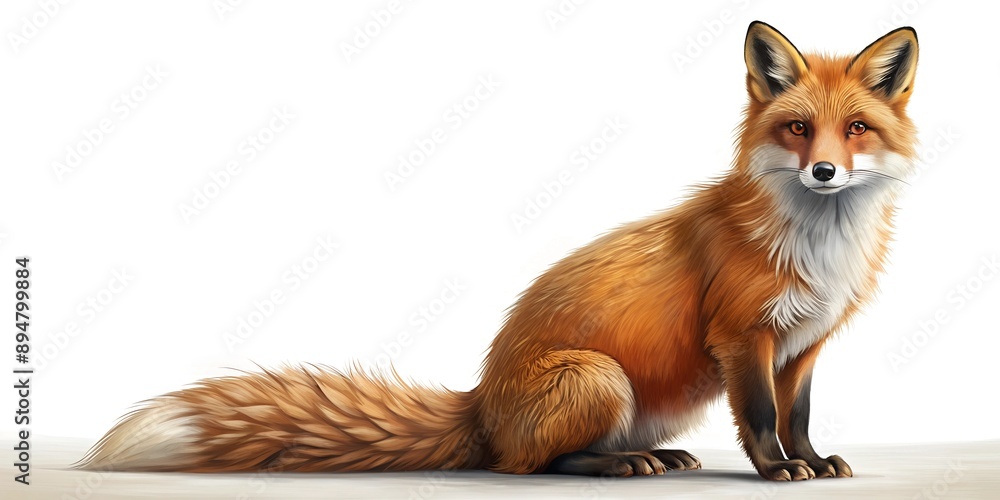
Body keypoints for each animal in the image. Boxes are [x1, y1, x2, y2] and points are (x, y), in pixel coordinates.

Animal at [78, 21, 919, 481]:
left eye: (856, 130)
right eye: (798, 128)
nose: (823, 172)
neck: (817, 243)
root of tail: (479, 401)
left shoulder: (804, 345)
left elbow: (797, 415)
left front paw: (815, 462)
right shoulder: (742, 337)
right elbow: (761, 419)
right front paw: (778, 472)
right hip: (599, 377)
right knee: (530, 465)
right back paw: (615, 465)